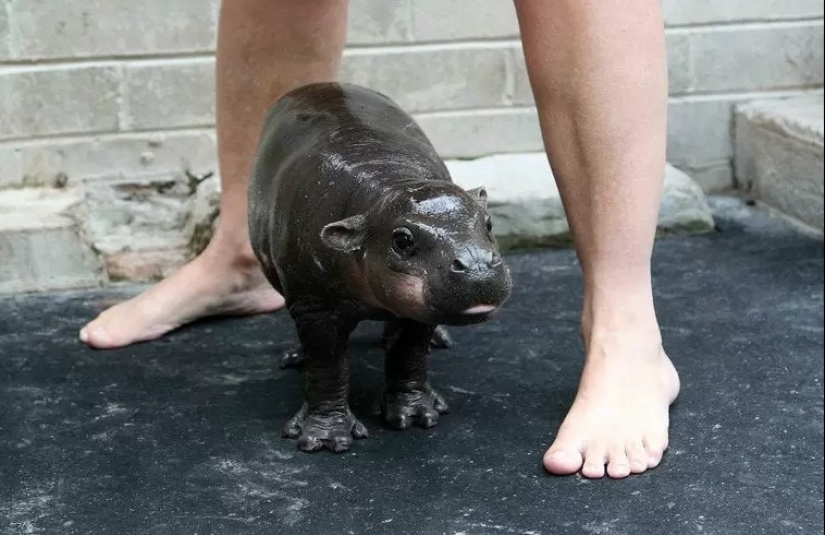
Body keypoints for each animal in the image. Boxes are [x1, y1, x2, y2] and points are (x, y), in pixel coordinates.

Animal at [248, 82, 512, 453]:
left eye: (488, 223)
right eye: (401, 239)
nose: (477, 265)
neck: (385, 186)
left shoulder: (418, 308)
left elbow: (409, 352)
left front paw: (415, 415)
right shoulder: (314, 305)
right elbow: (327, 363)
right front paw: (325, 438)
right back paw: (295, 357)